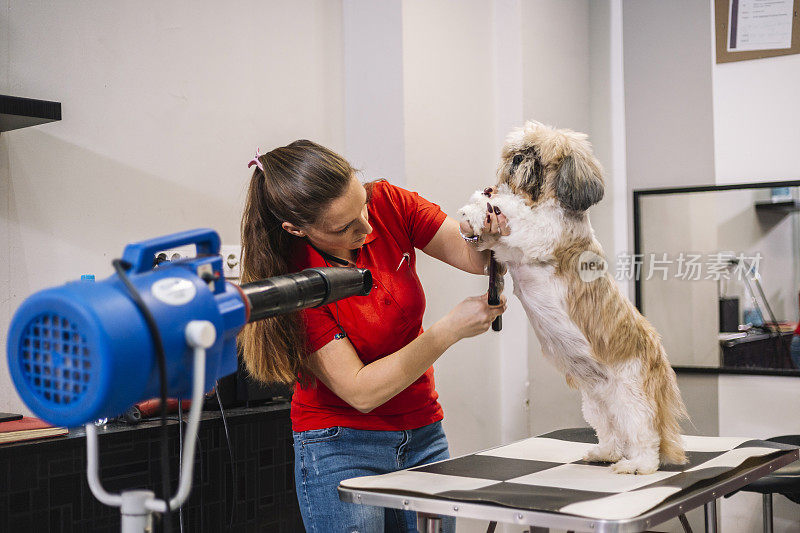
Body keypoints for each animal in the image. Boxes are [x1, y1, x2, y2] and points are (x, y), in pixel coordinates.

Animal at [462, 120, 688, 474]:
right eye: (516, 152)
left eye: (536, 156)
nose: (516, 160)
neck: (544, 202)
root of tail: (656, 350)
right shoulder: (505, 252)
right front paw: (478, 212)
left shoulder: (540, 232)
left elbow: (516, 212)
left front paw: (481, 205)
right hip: (598, 400)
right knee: (611, 430)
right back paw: (606, 452)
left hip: (631, 394)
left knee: (643, 432)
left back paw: (637, 465)